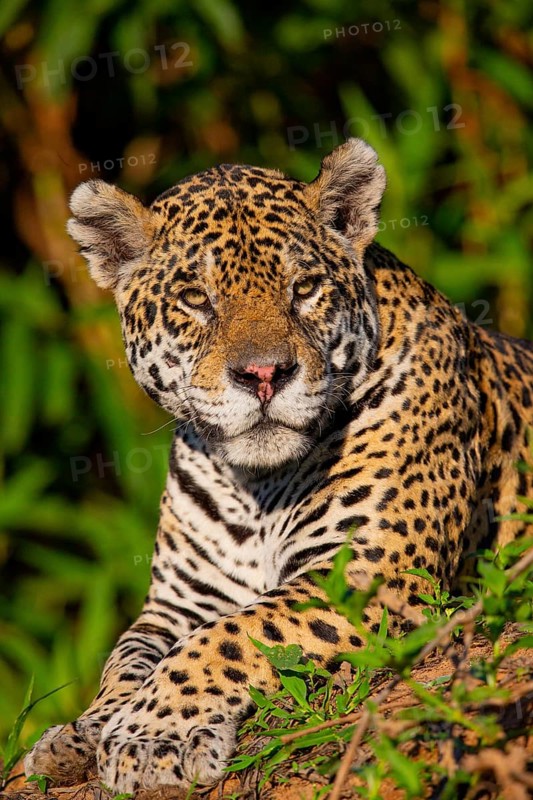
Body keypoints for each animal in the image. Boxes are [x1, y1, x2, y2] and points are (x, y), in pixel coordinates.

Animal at [25, 138, 533, 794]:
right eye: (196, 298)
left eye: (306, 287)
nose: (264, 374)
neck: (254, 484)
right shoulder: (177, 603)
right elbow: (128, 656)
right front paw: (82, 730)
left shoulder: (369, 575)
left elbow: (233, 635)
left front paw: (153, 734)